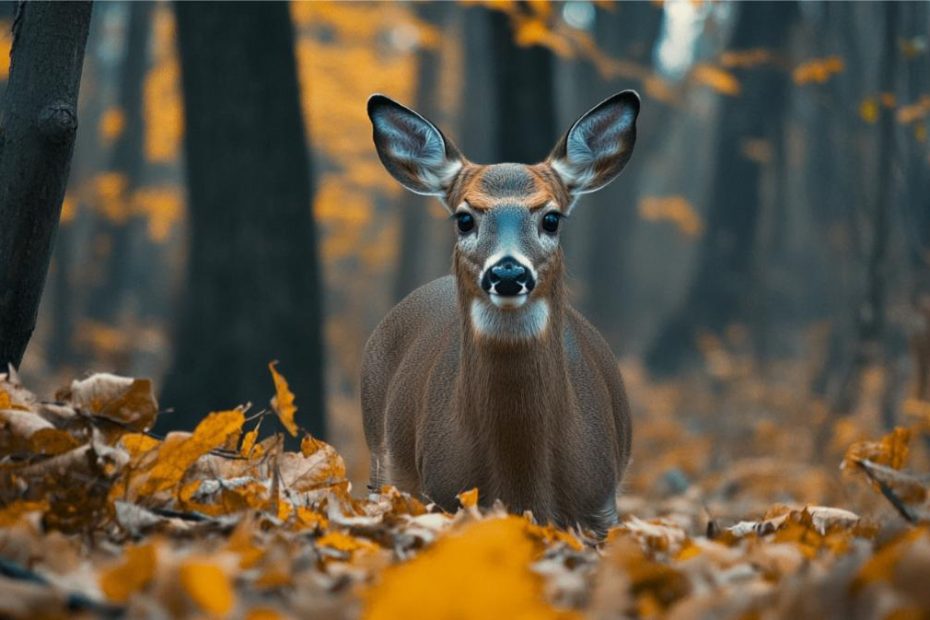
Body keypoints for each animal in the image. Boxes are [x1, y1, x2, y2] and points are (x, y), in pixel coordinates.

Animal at [362, 91, 640, 532]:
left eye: (551, 218)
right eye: (463, 218)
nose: (508, 272)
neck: (522, 479)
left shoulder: (600, 508)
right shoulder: (440, 497)